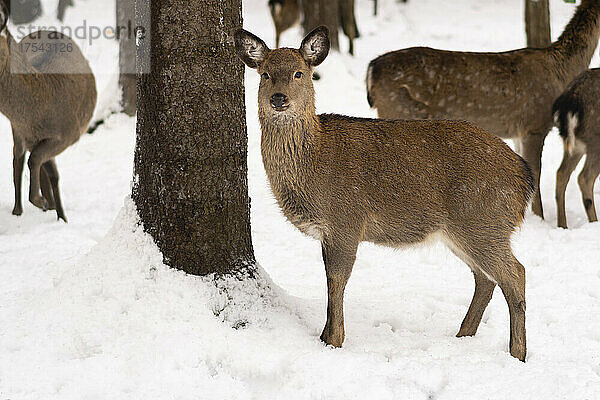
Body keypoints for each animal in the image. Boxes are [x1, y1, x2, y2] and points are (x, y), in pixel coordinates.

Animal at [0, 7, 97, 222]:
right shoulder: (21, 131)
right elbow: (29, 162)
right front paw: (38, 201)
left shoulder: (68, 135)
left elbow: (41, 164)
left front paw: (52, 208)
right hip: (17, 132)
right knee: (19, 161)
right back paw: (22, 209)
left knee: (41, 166)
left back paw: (53, 208)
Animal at [234, 26, 536, 360]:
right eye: (265, 74)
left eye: (300, 73)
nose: (278, 98)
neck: (314, 163)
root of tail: (524, 177)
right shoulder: (330, 231)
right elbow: (329, 280)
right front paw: (325, 337)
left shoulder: (346, 220)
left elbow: (337, 280)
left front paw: (334, 340)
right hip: (465, 230)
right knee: (485, 279)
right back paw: (463, 336)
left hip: (483, 219)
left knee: (516, 274)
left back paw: (517, 353)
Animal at [552, 68, 600, 228]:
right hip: (595, 142)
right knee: (585, 177)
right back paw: (594, 223)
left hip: (575, 146)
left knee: (561, 173)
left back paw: (563, 225)